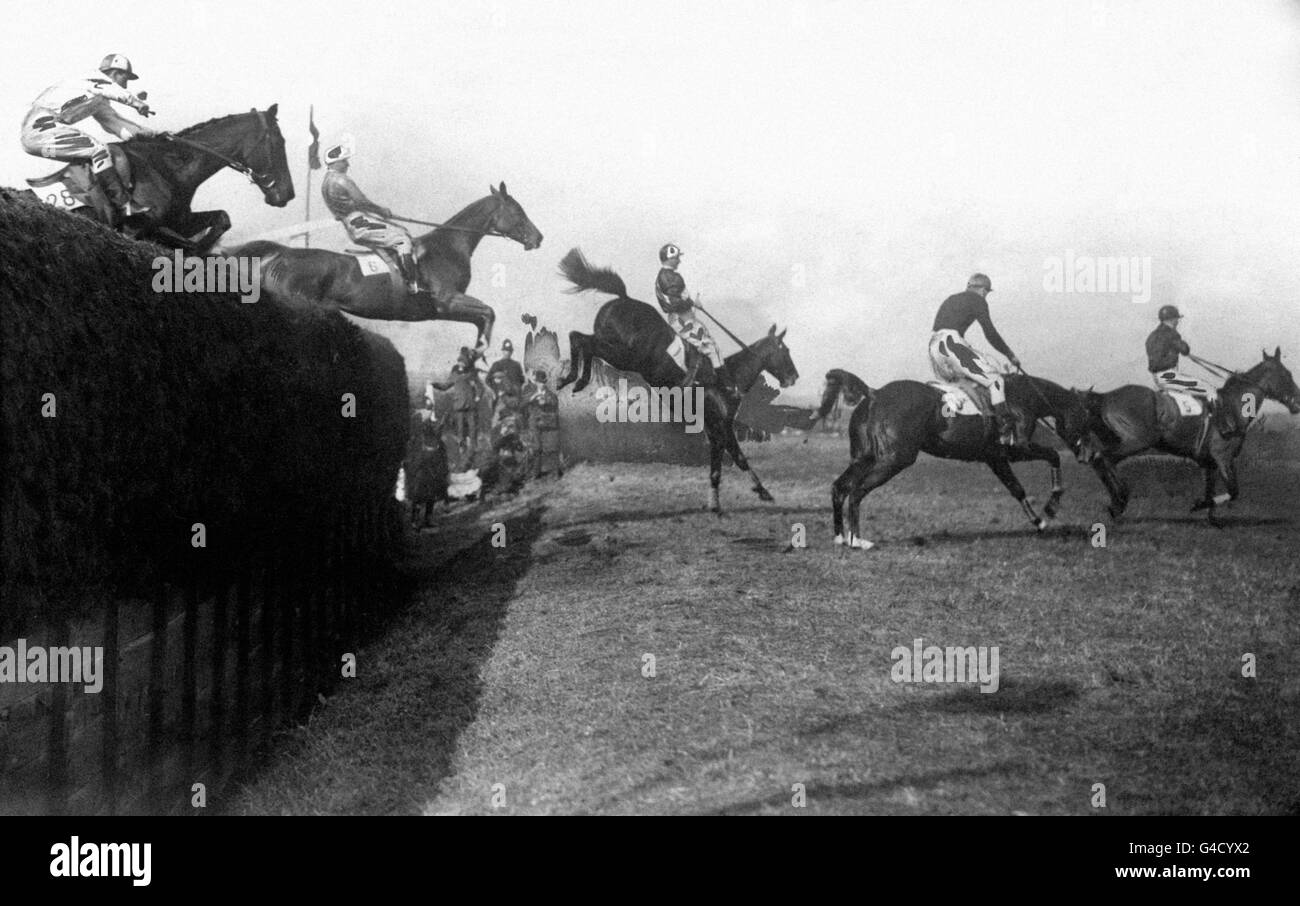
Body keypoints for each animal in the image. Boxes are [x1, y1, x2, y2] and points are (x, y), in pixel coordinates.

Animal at [28, 107, 295, 252]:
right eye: (279, 142)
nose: (288, 193)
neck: (166, 167)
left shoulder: (179, 221)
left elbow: (222, 219)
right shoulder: (137, 227)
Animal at [233, 181, 538, 348]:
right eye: (518, 211)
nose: (539, 237)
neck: (449, 246)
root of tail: (279, 255)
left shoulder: (443, 311)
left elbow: (482, 317)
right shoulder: (447, 301)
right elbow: (489, 312)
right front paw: (478, 355)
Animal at [553, 246, 795, 512]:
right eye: (785, 351)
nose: (793, 377)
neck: (729, 377)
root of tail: (623, 299)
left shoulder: (714, 429)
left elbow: (720, 466)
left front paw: (718, 502)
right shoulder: (722, 426)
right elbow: (738, 459)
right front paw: (759, 493)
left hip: (614, 350)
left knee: (580, 338)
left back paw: (573, 380)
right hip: (622, 355)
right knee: (581, 341)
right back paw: (573, 379)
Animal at [826, 369, 1092, 551]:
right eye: (1086, 415)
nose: (1088, 455)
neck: (1023, 397)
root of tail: (875, 393)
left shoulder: (996, 458)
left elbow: (1017, 489)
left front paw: (1039, 522)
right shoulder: (1018, 450)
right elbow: (1053, 455)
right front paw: (1052, 506)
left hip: (864, 458)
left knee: (840, 487)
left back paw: (841, 537)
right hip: (894, 459)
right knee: (857, 491)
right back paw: (857, 541)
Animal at [1076, 348, 1300, 522]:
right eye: (1286, 375)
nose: (1297, 403)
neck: (1233, 406)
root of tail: (1105, 397)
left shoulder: (1211, 463)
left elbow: (1211, 491)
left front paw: (1210, 516)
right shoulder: (1223, 457)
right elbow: (1233, 491)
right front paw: (1198, 505)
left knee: (1099, 460)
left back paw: (1116, 502)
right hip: (1135, 442)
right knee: (1105, 459)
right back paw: (1120, 500)